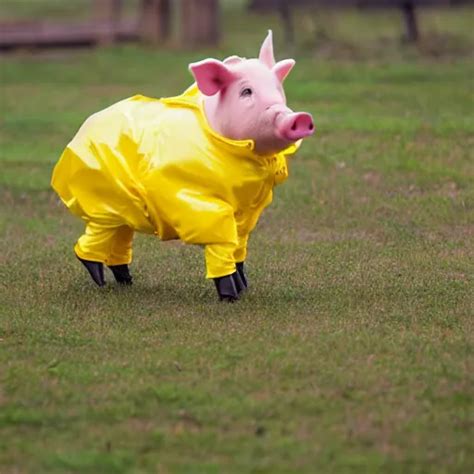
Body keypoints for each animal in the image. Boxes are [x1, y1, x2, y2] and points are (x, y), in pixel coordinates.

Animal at [51, 30, 314, 300]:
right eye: (246, 91)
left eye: (278, 89)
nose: (299, 118)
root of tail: (83, 130)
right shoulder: (195, 199)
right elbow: (221, 239)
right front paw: (230, 297)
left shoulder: (249, 210)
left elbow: (238, 245)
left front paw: (243, 288)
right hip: (102, 202)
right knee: (95, 235)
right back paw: (99, 280)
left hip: (124, 209)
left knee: (120, 239)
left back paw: (127, 282)